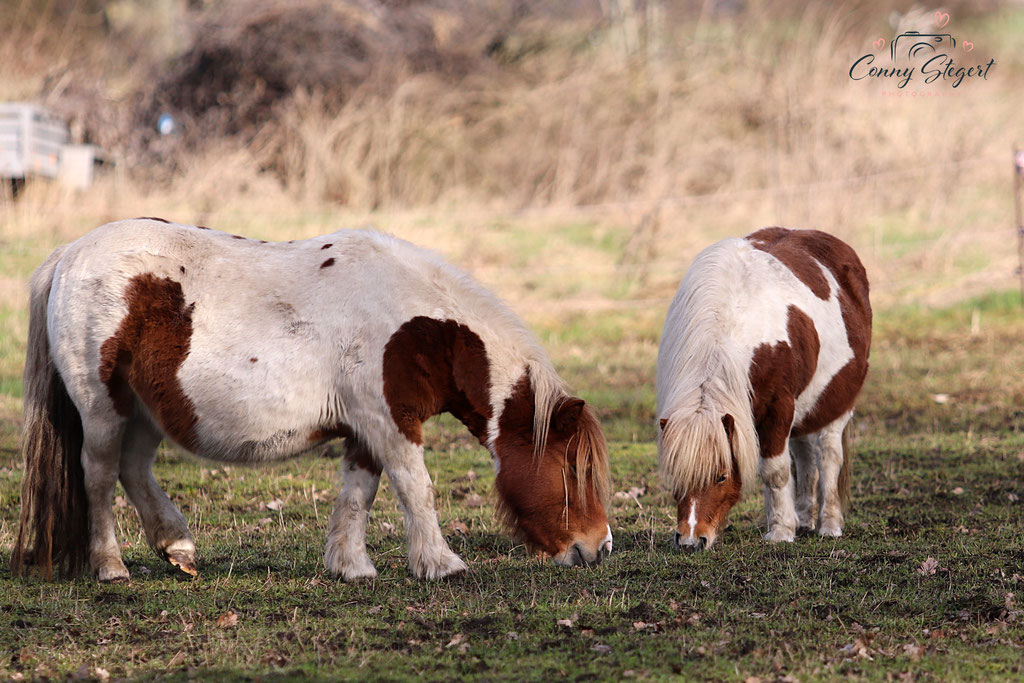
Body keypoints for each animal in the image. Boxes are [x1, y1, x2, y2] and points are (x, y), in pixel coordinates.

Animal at [12, 219, 610, 581]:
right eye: (571, 471)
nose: (597, 547)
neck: (415, 326)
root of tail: (68, 254)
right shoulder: (392, 423)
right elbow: (416, 488)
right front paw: (442, 564)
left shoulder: (368, 428)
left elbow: (359, 494)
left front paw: (351, 566)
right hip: (102, 407)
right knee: (99, 475)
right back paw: (111, 565)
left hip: (144, 411)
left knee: (133, 470)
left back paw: (177, 547)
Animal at [655, 229, 872, 548]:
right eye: (675, 476)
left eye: (721, 476)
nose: (691, 542)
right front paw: (784, 524)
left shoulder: (777, 409)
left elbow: (775, 472)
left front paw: (780, 531)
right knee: (805, 456)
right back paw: (804, 520)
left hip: (836, 405)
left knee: (829, 457)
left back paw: (829, 524)